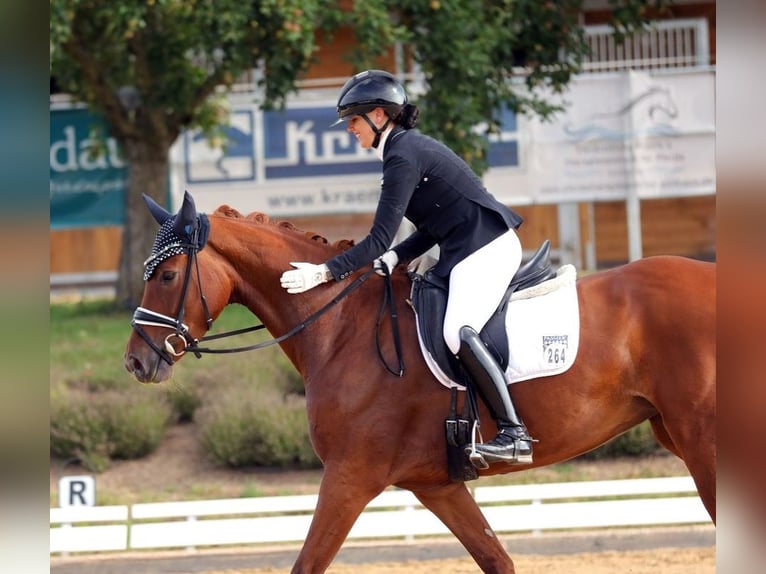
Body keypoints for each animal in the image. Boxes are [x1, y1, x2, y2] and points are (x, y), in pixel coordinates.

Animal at [123, 194, 716, 574]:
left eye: (168, 276)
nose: (136, 362)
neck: (341, 326)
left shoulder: (349, 477)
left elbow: (307, 563)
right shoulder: (437, 485)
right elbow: (497, 559)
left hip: (700, 442)